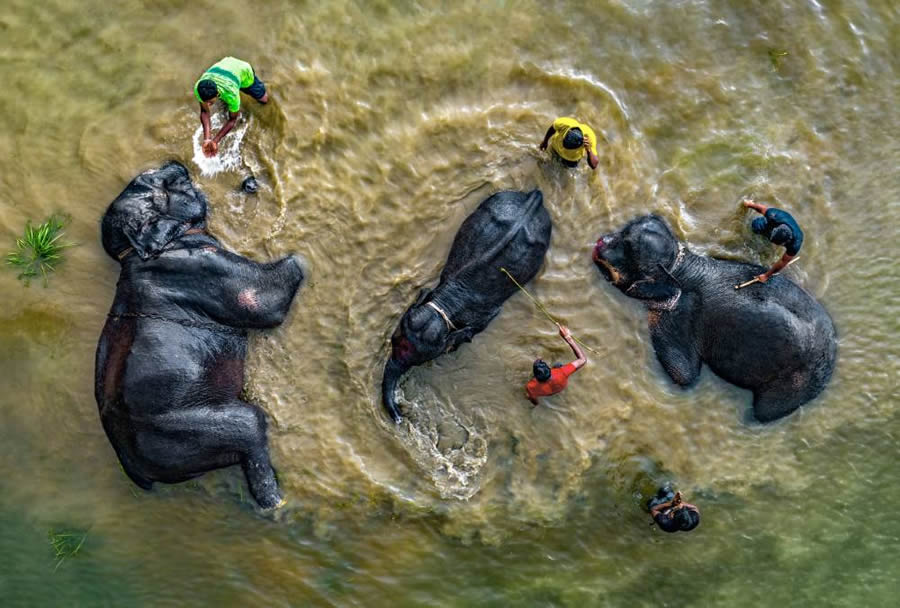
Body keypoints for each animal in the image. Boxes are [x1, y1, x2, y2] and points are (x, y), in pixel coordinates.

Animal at [95, 162, 304, 508]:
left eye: (147, 178)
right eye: (165, 185)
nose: (177, 166)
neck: (136, 252)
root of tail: (134, 467)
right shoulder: (205, 268)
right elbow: (265, 301)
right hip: (197, 427)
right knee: (251, 426)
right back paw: (277, 504)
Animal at [382, 189, 552, 422]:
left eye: (417, 360)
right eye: (393, 340)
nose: (400, 416)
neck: (445, 303)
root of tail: (534, 196)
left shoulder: (481, 316)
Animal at [592, 215, 836, 422]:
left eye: (629, 248)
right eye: (626, 228)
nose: (600, 241)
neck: (680, 265)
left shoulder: (683, 312)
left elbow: (685, 376)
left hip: (794, 383)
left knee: (763, 413)